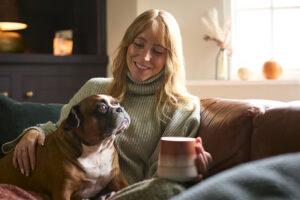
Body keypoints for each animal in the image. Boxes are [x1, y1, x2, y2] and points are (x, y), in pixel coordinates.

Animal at [0, 94, 131, 199]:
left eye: (117, 102)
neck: (96, 150)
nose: (120, 108)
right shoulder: (63, 190)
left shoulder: (118, 179)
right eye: (102, 107)